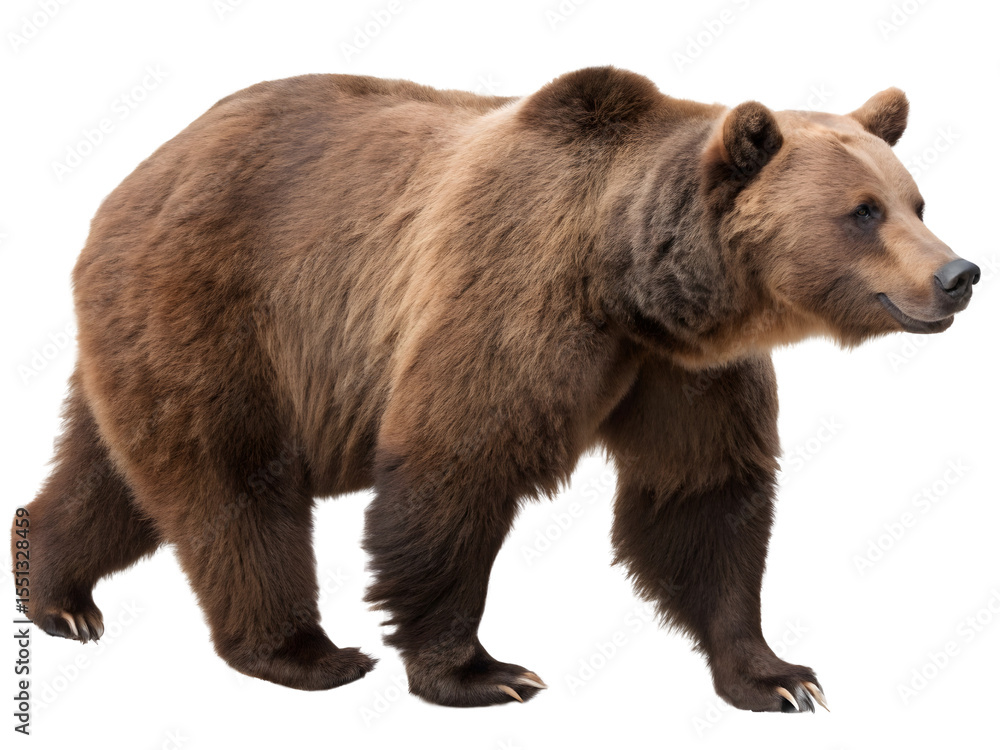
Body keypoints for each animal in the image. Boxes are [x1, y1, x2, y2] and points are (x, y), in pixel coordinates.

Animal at [11, 67, 979, 712]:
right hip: (223, 305)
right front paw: (482, 672)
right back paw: (305, 652)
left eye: (916, 201)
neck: (636, 284)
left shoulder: (682, 370)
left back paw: (57, 594)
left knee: (110, 477)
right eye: (863, 211)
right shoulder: (514, 288)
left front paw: (777, 675)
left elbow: (702, 498)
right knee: (234, 482)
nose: (960, 275)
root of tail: (137, 176)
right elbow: (456, 465)